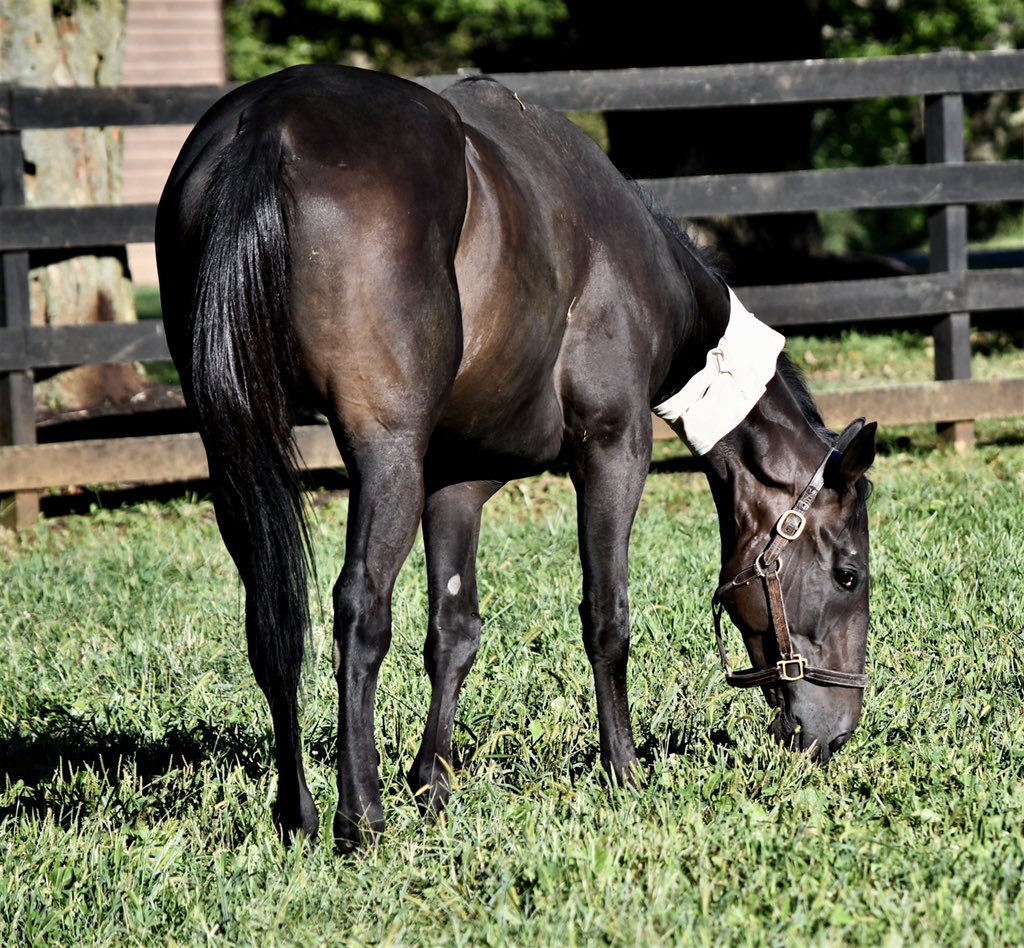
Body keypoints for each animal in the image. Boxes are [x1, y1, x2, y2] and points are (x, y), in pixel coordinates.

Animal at [155, 64, 876, 850]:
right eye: (848, 575)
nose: (837, 734)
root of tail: (270, 122)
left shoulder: (457, 480)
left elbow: (454, 630)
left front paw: (433, 783)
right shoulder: (614, 449)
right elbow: (606, 616)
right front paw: (624, 768)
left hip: (235, 446)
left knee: (272, 619)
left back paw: (298, 813)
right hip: (385, 455)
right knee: (360, 612)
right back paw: (360, 813)